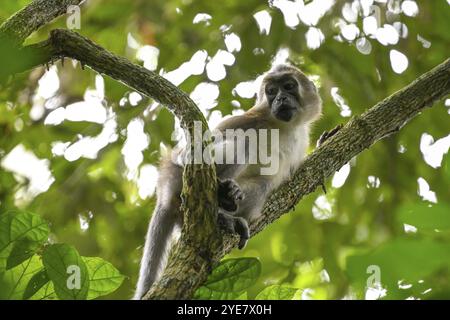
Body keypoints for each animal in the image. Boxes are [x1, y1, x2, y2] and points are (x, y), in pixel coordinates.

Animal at [132, 64, 322, 300]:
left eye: (288, 86)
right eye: (271, 91)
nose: (281, 99)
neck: (281, 126)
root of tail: (164, 191)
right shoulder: (248, 119)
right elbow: (188, 154)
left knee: (262, 185)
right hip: (178, 178)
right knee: (243, 144)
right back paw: (221, 202)